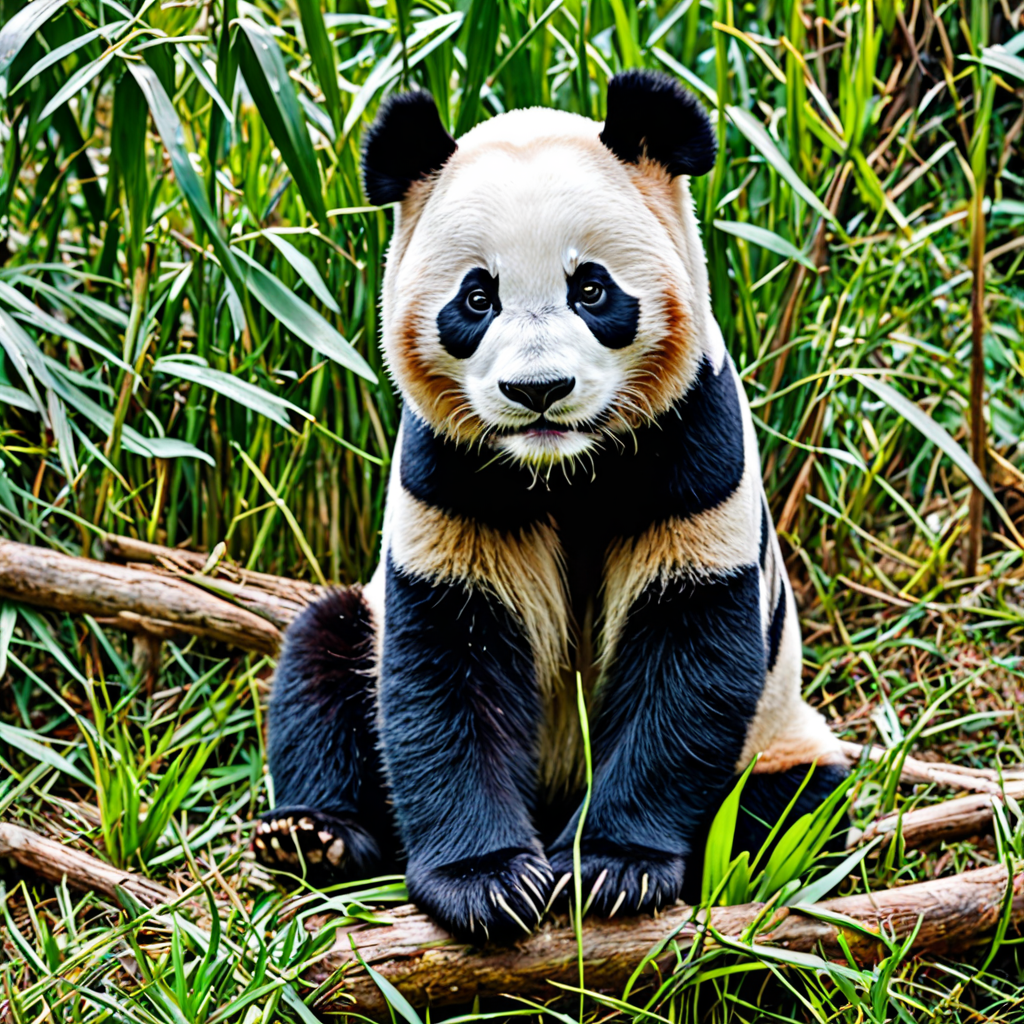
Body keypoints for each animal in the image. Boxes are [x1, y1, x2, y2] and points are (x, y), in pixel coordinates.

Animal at [253, 70, 848, 943]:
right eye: (476, 299)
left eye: (592, 288)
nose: (538, 390)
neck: (561, 468)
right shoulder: (450, 473)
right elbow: (446, 665)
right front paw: (488, 883)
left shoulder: (694, 451)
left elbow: (684, 658)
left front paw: (612, 869)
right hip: (360, 624)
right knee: (322, 659)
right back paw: (313, 836)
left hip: (780, 731)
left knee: (799, 801)